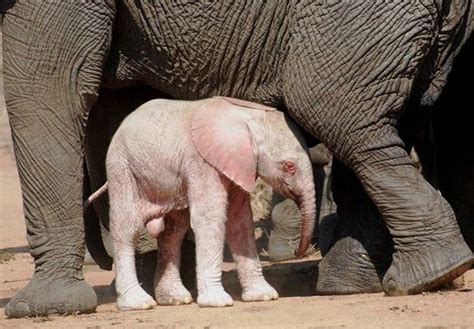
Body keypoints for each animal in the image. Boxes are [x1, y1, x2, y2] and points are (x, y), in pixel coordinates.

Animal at [97, 96, 314, 308]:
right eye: (289, 166)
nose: (297, 252)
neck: (248, 116)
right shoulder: (203, 163)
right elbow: (210, 218)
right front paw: (217, 302)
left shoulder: (237, 165)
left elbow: (239, 220)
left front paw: (263, 296)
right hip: (121, 167)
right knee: (126, 227)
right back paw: (137, 303)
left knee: (174, 229)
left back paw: (175, 299)